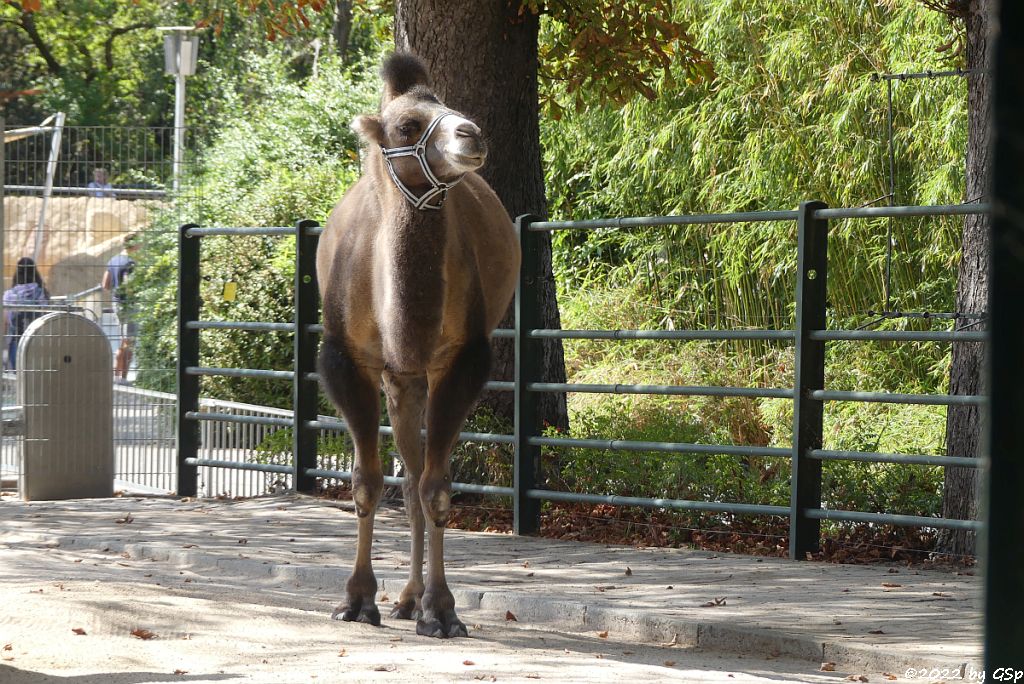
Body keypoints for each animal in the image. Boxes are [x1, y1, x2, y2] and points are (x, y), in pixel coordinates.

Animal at [315, 54, 520, 643]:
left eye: (450, 106)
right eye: (407, 126)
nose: (471, 134)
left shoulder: (464, 361)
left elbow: (438, 488)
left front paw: (442, 609)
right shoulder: (347, 360)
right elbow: (365, 481)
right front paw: (357, 600)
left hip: (415, 376)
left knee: (417, 481)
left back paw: (413, 600)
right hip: (400, 379)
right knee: (402, 479)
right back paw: (401, 598)